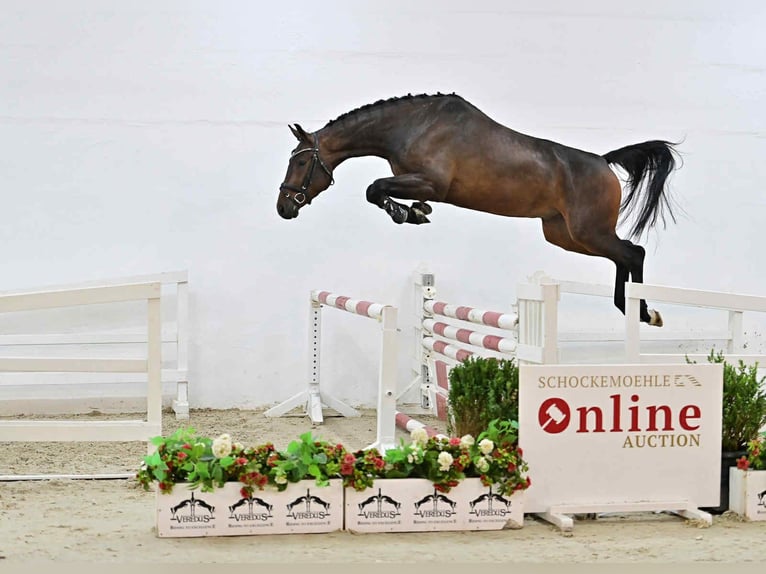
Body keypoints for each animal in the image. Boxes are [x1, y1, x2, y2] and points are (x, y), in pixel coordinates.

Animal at [276, 93, 680, 325]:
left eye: (300, 162)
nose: (283, 207)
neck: (412, 126)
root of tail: (604, 161)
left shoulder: (430, 182)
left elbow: (374, 189)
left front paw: (407, 213)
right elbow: (380, 191)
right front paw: (417, 212)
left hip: (588, 231)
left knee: (633, 252)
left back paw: (645, 312)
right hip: (564, 235)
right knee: (623, 255)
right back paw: (632, 309)